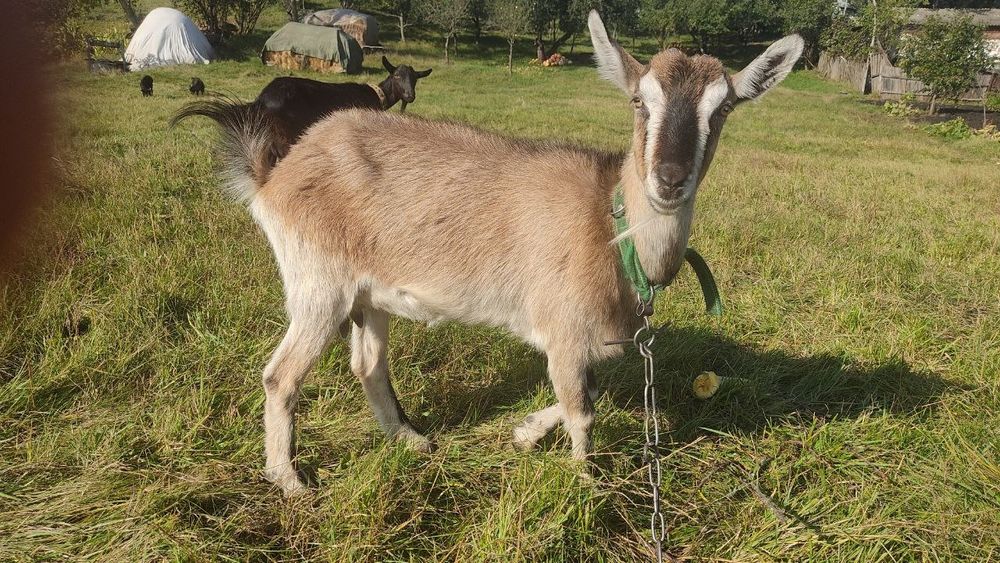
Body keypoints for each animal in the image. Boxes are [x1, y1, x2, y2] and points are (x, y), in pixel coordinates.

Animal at [174, 11, 803, 495]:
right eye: (638, 101)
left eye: (723, 110)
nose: (669, 180)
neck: (610, 227)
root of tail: (274, 176)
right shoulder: (565, 327)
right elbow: (583, 410)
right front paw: (586, 484)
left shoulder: (592, 339)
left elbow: (584, 393)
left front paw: (524, 434)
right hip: (317, 282)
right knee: (280, 376)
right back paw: (291, 481)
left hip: (366, 294)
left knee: (368, 364)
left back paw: (410, 440)